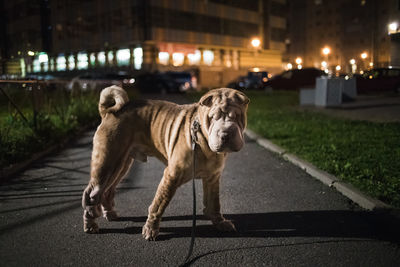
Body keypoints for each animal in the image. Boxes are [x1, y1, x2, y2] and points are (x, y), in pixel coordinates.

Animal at [81, 86, 248, 241]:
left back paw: (110, 214)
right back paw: (90, 224)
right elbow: (159, 203)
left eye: (237, 117)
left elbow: (214, 203)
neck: (202, 138)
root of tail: (108, 112)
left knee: (107, 190)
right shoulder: (171, 175)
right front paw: (150, 230)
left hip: (121, 164)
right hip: (107, 162)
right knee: (91, 192)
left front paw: (220, 222)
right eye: (213, 117)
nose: (225, 134)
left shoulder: (213, 178)